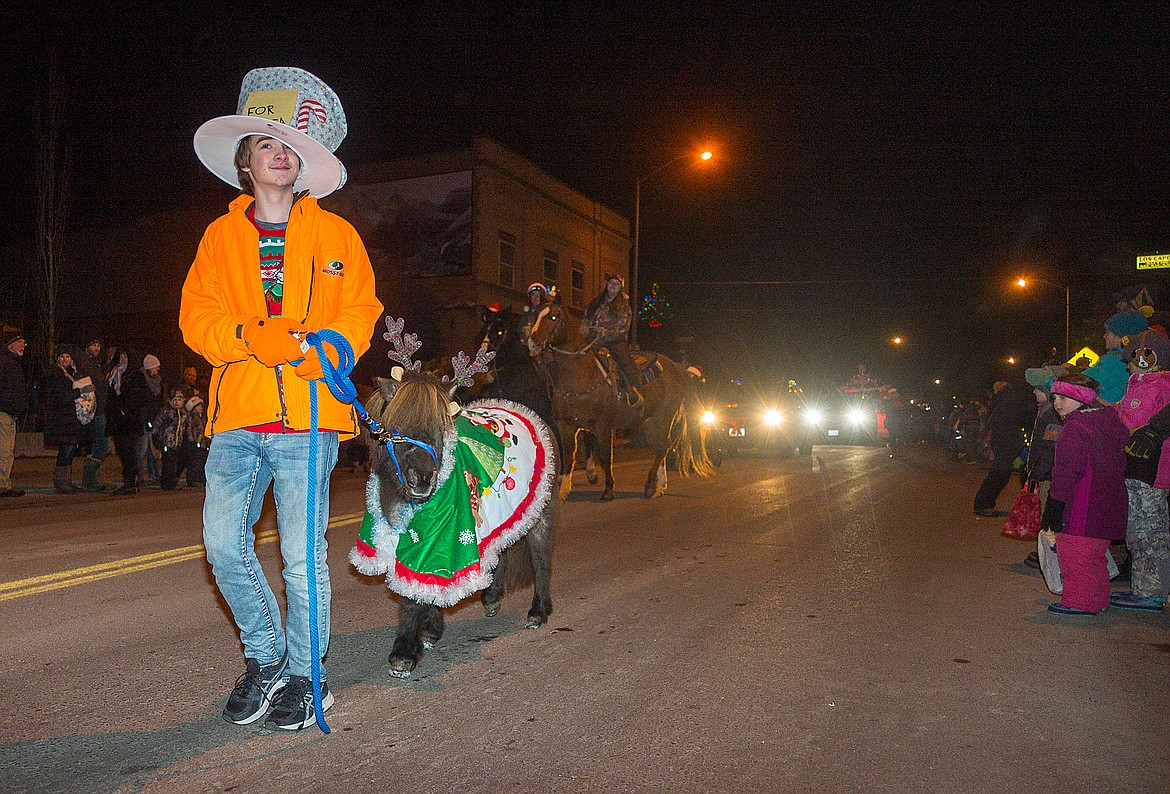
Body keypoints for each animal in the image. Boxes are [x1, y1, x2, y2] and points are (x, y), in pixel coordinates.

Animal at [524, 301, 706, 500]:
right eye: (535, 315)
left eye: (554, 317)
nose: (532, 342)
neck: (581, 375)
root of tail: (677, 367)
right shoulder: (565, 424)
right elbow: (568, 455)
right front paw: (564, 490)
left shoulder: (603, 425)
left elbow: (605, 457)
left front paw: (608, 490)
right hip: (649, 422)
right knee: (661, 448)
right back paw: (659, 485)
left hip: (664, 418)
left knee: (663, 447)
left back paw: (650, 486)